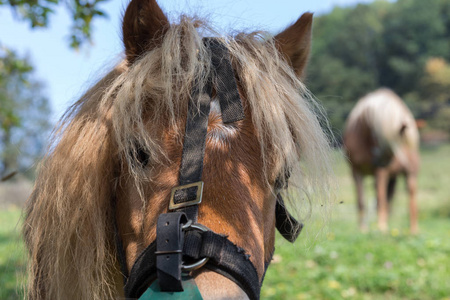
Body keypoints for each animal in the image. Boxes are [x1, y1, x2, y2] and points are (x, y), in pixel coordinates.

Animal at [344, 88, 422, 234]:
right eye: (376, 133)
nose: (381, 161)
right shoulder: (356, 170)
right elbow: (361, 200)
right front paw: (363, 229)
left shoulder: (380, 172)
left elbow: (380, 199)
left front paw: (381, 228)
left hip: (404, 174)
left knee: (408, 199)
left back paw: (411, 229)